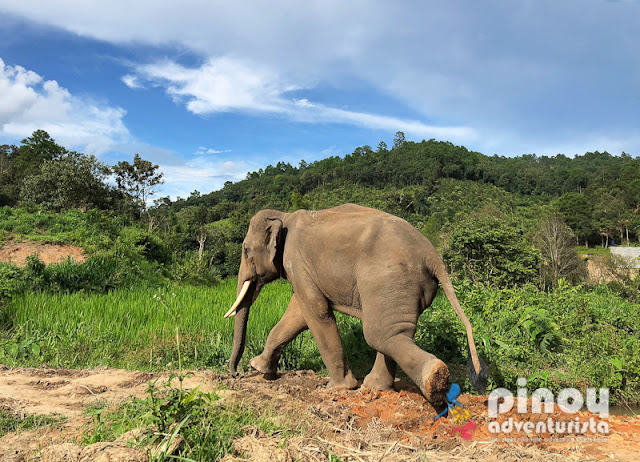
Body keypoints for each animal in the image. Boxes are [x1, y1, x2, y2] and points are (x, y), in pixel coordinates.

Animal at [222, 203, 488, 404]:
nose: (236, 375)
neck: (284, 215)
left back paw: (433, 379)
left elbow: (315, 312)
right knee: (393, 333)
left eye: (245, 250)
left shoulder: (296, 259)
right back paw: (377, 387)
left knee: (379, 334)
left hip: (387, 278)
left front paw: (338, 388)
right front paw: (260, 369)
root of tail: (433, 256)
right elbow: (298, 313)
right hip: (406, 286)